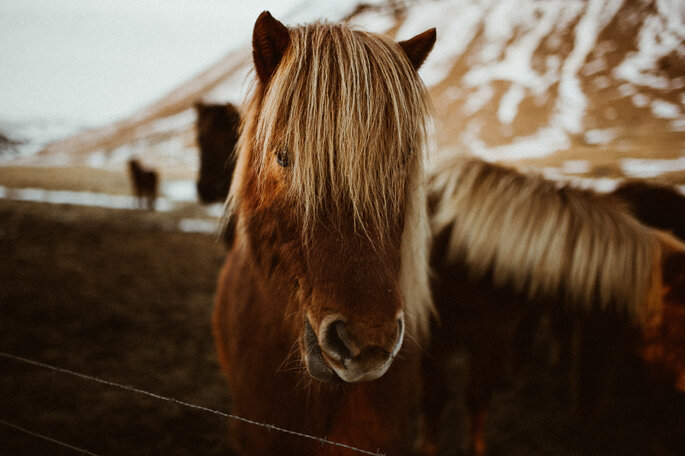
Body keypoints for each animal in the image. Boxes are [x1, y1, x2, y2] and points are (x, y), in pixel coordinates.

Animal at [420, 156, 684, 456]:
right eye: (680, 313)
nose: (682, 385)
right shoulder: (436, 336)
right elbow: (434, 398)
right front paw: (427, 447)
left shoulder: (488, 334)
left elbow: (476, 397)